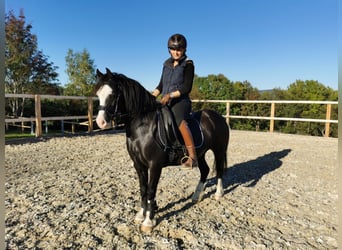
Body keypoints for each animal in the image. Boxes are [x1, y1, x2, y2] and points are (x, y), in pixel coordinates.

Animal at [95, 68, 231, 232]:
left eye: (113, 94)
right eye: (98, 94)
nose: (101, 122)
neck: (142, 126)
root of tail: (217, 117)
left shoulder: (155, 165)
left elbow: (151, 190)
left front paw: (148, 221)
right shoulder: (139, 165)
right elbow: (143, 189)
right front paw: (141, 214)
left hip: (219, 150)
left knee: (219, 170)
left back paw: (218, 194)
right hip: (201, 153)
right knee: (205, 171)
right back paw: (195, 197)